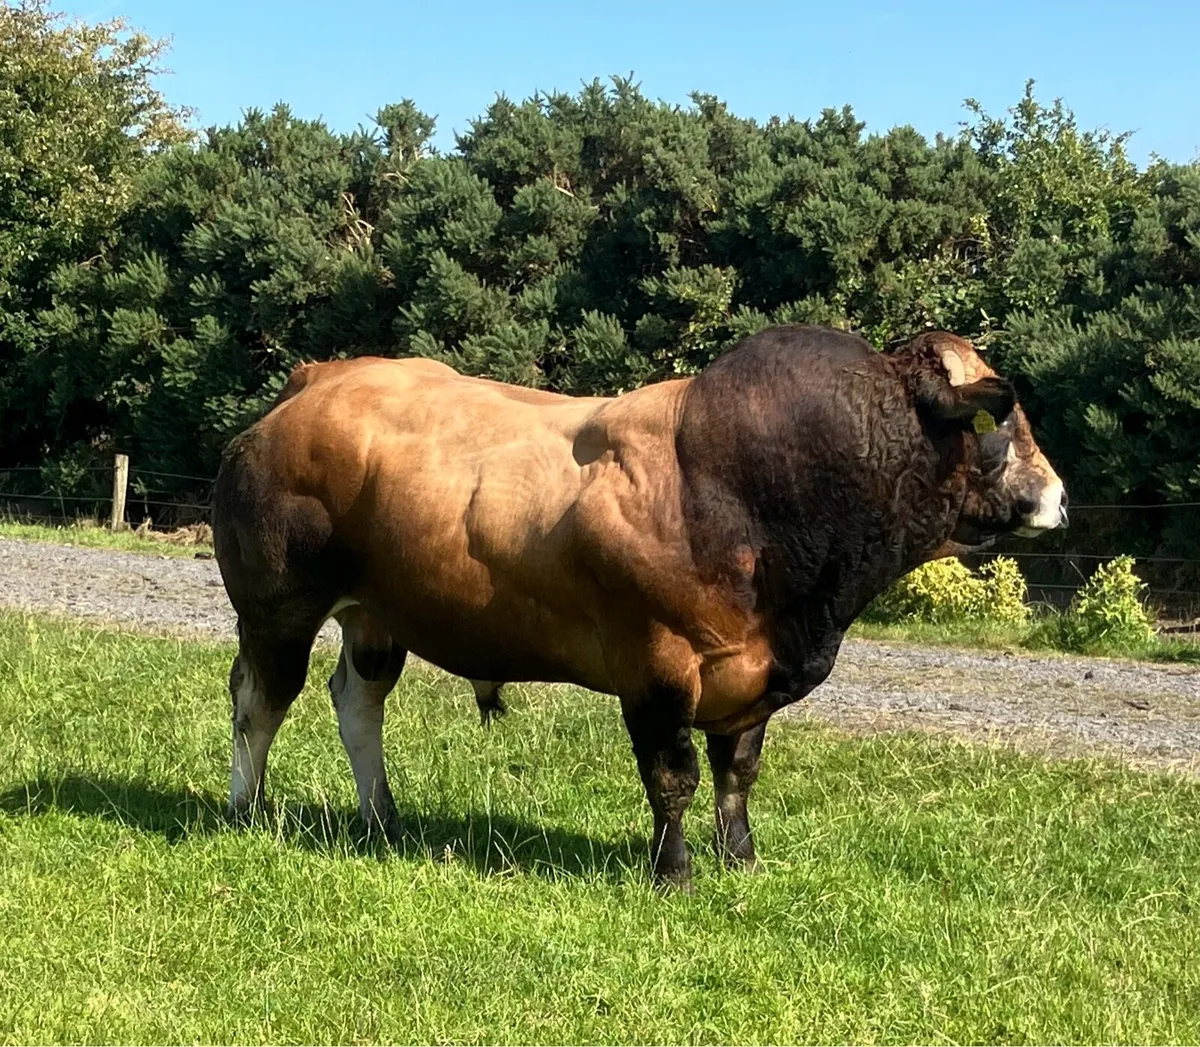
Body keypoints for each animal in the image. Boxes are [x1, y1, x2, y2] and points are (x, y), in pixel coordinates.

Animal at [213, 324, 1066, 890]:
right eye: (1000, 419)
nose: (1058, 495)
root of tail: (316, 378)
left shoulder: (748, 677)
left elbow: (737, 771)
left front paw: (740, 857)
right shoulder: (657, 667)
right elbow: (674, 776)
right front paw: (675, 871)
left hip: (375, 614)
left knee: (357, 699)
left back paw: (381, 815)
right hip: (277, 609)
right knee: (260, 701)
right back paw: (245, 808)